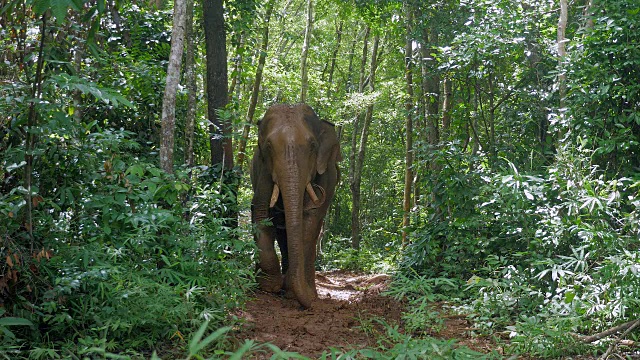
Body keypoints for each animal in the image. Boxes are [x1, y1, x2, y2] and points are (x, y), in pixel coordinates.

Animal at [250, 102, 342, 308]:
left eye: (313, 146)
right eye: (268, 146)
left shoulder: (326, 175)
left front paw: (293, 291)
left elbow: (310, 222)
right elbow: (260, 211)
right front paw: (270, 287)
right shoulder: (264, 171)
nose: (310, 303)